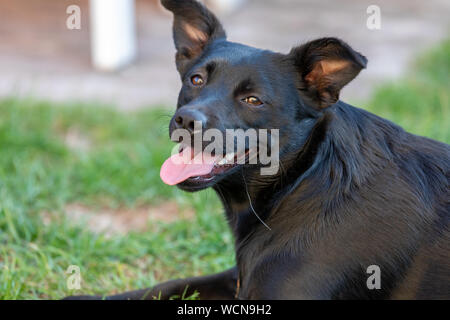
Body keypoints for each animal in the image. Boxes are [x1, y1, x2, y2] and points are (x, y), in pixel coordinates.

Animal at [68, 0, 448, 300]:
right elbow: (172, 284)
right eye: (196, 80)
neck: (300, 182)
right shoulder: (238, 279)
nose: (186, 120)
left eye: (253, 100)